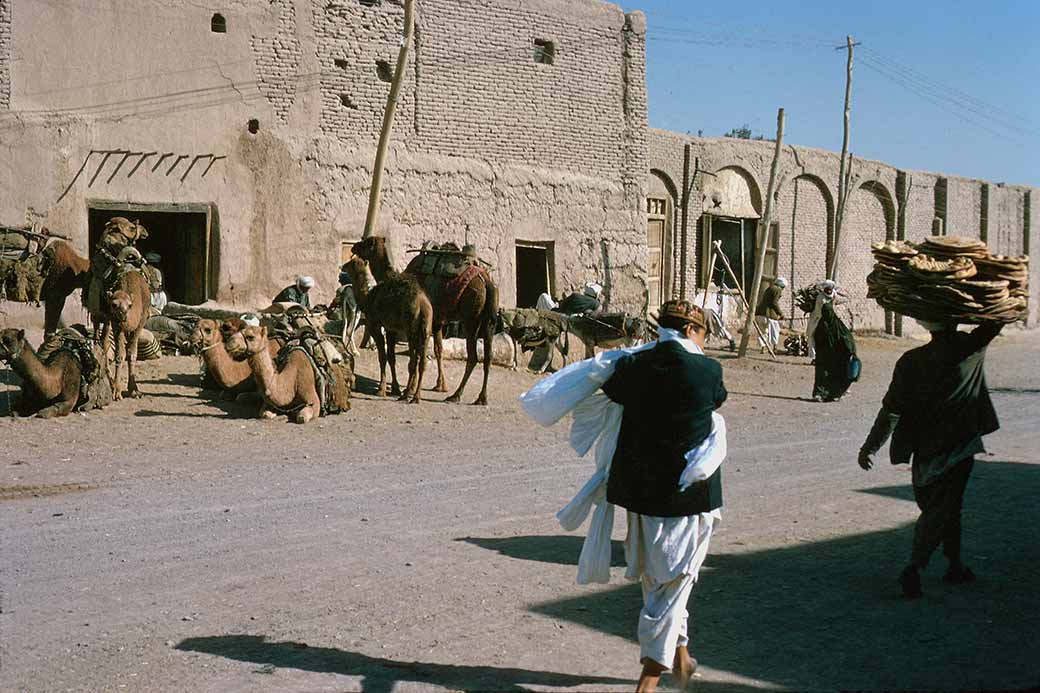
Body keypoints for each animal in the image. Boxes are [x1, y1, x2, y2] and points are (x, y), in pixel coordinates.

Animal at [100, 268, 151, 399]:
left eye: (129, 305)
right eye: (114, 304)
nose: (123, 315)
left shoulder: (139, 323)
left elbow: (132, 353)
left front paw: (134, 390)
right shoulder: (117, 326)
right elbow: (119, 354)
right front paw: (117, 392)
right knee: (105, 342)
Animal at [343, 255, 432, 401]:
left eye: (351, 263)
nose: (342, 266)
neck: (367, 298)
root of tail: (423, 305)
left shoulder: (375, 325)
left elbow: (382, 357)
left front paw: (381, 389)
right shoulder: (391, 329)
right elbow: (391, 357)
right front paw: (395, 388)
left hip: (411, 329)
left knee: (413, 361)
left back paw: (407, 394)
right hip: (426, 331)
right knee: (422, 361)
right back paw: (415, 396)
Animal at [353, 236, 499, 405]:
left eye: (365, 243)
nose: (354, 247)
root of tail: (486, 282)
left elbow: (416, 354)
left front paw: (410, 389)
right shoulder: (437, 322)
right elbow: (438, 350)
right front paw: (440, 385)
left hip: (470, 318)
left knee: (473, 356)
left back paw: (456, 395)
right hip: (489, 320)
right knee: (488, 357)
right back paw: (482, 398)